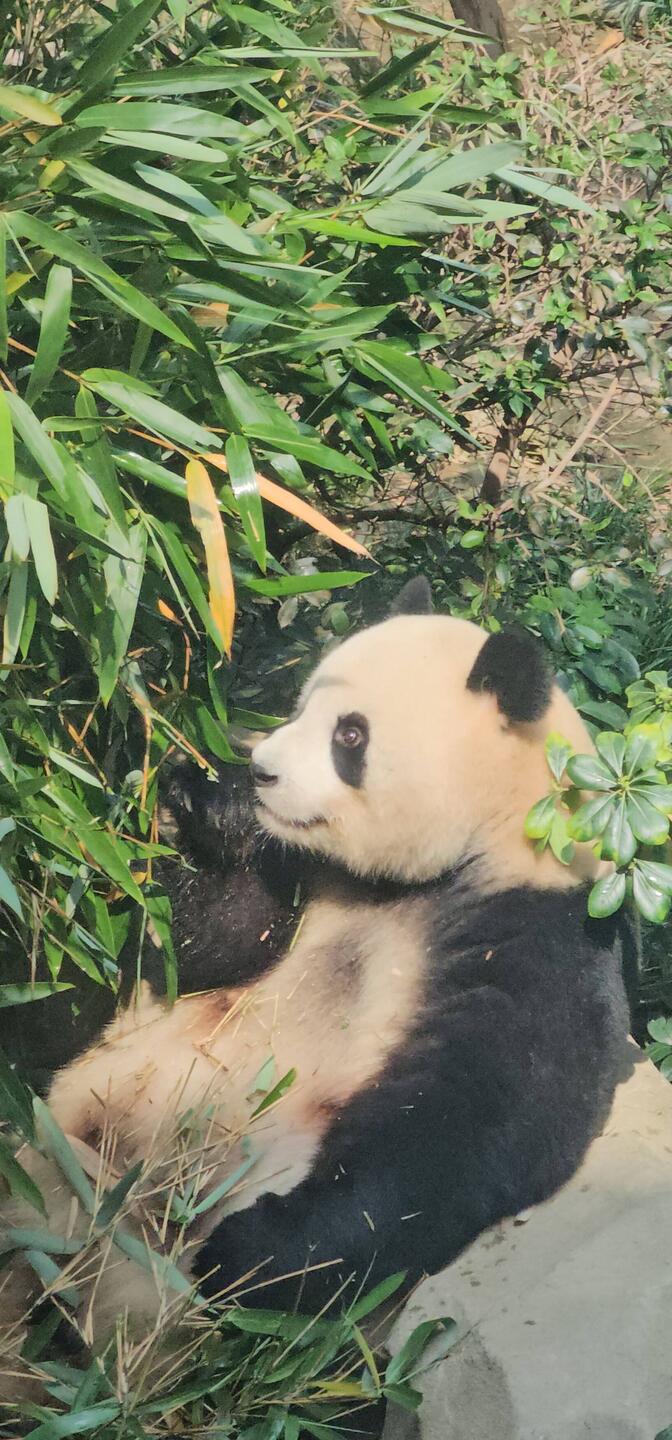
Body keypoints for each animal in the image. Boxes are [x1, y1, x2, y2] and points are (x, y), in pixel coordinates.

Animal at [0, 579, 631, 1406]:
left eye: (350, 735)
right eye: (299, 706)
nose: (261, 770)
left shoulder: (537, 939)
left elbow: (471, 1124)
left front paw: (248, 1252)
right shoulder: (301, 875)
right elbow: (211, 940)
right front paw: (199, 800)